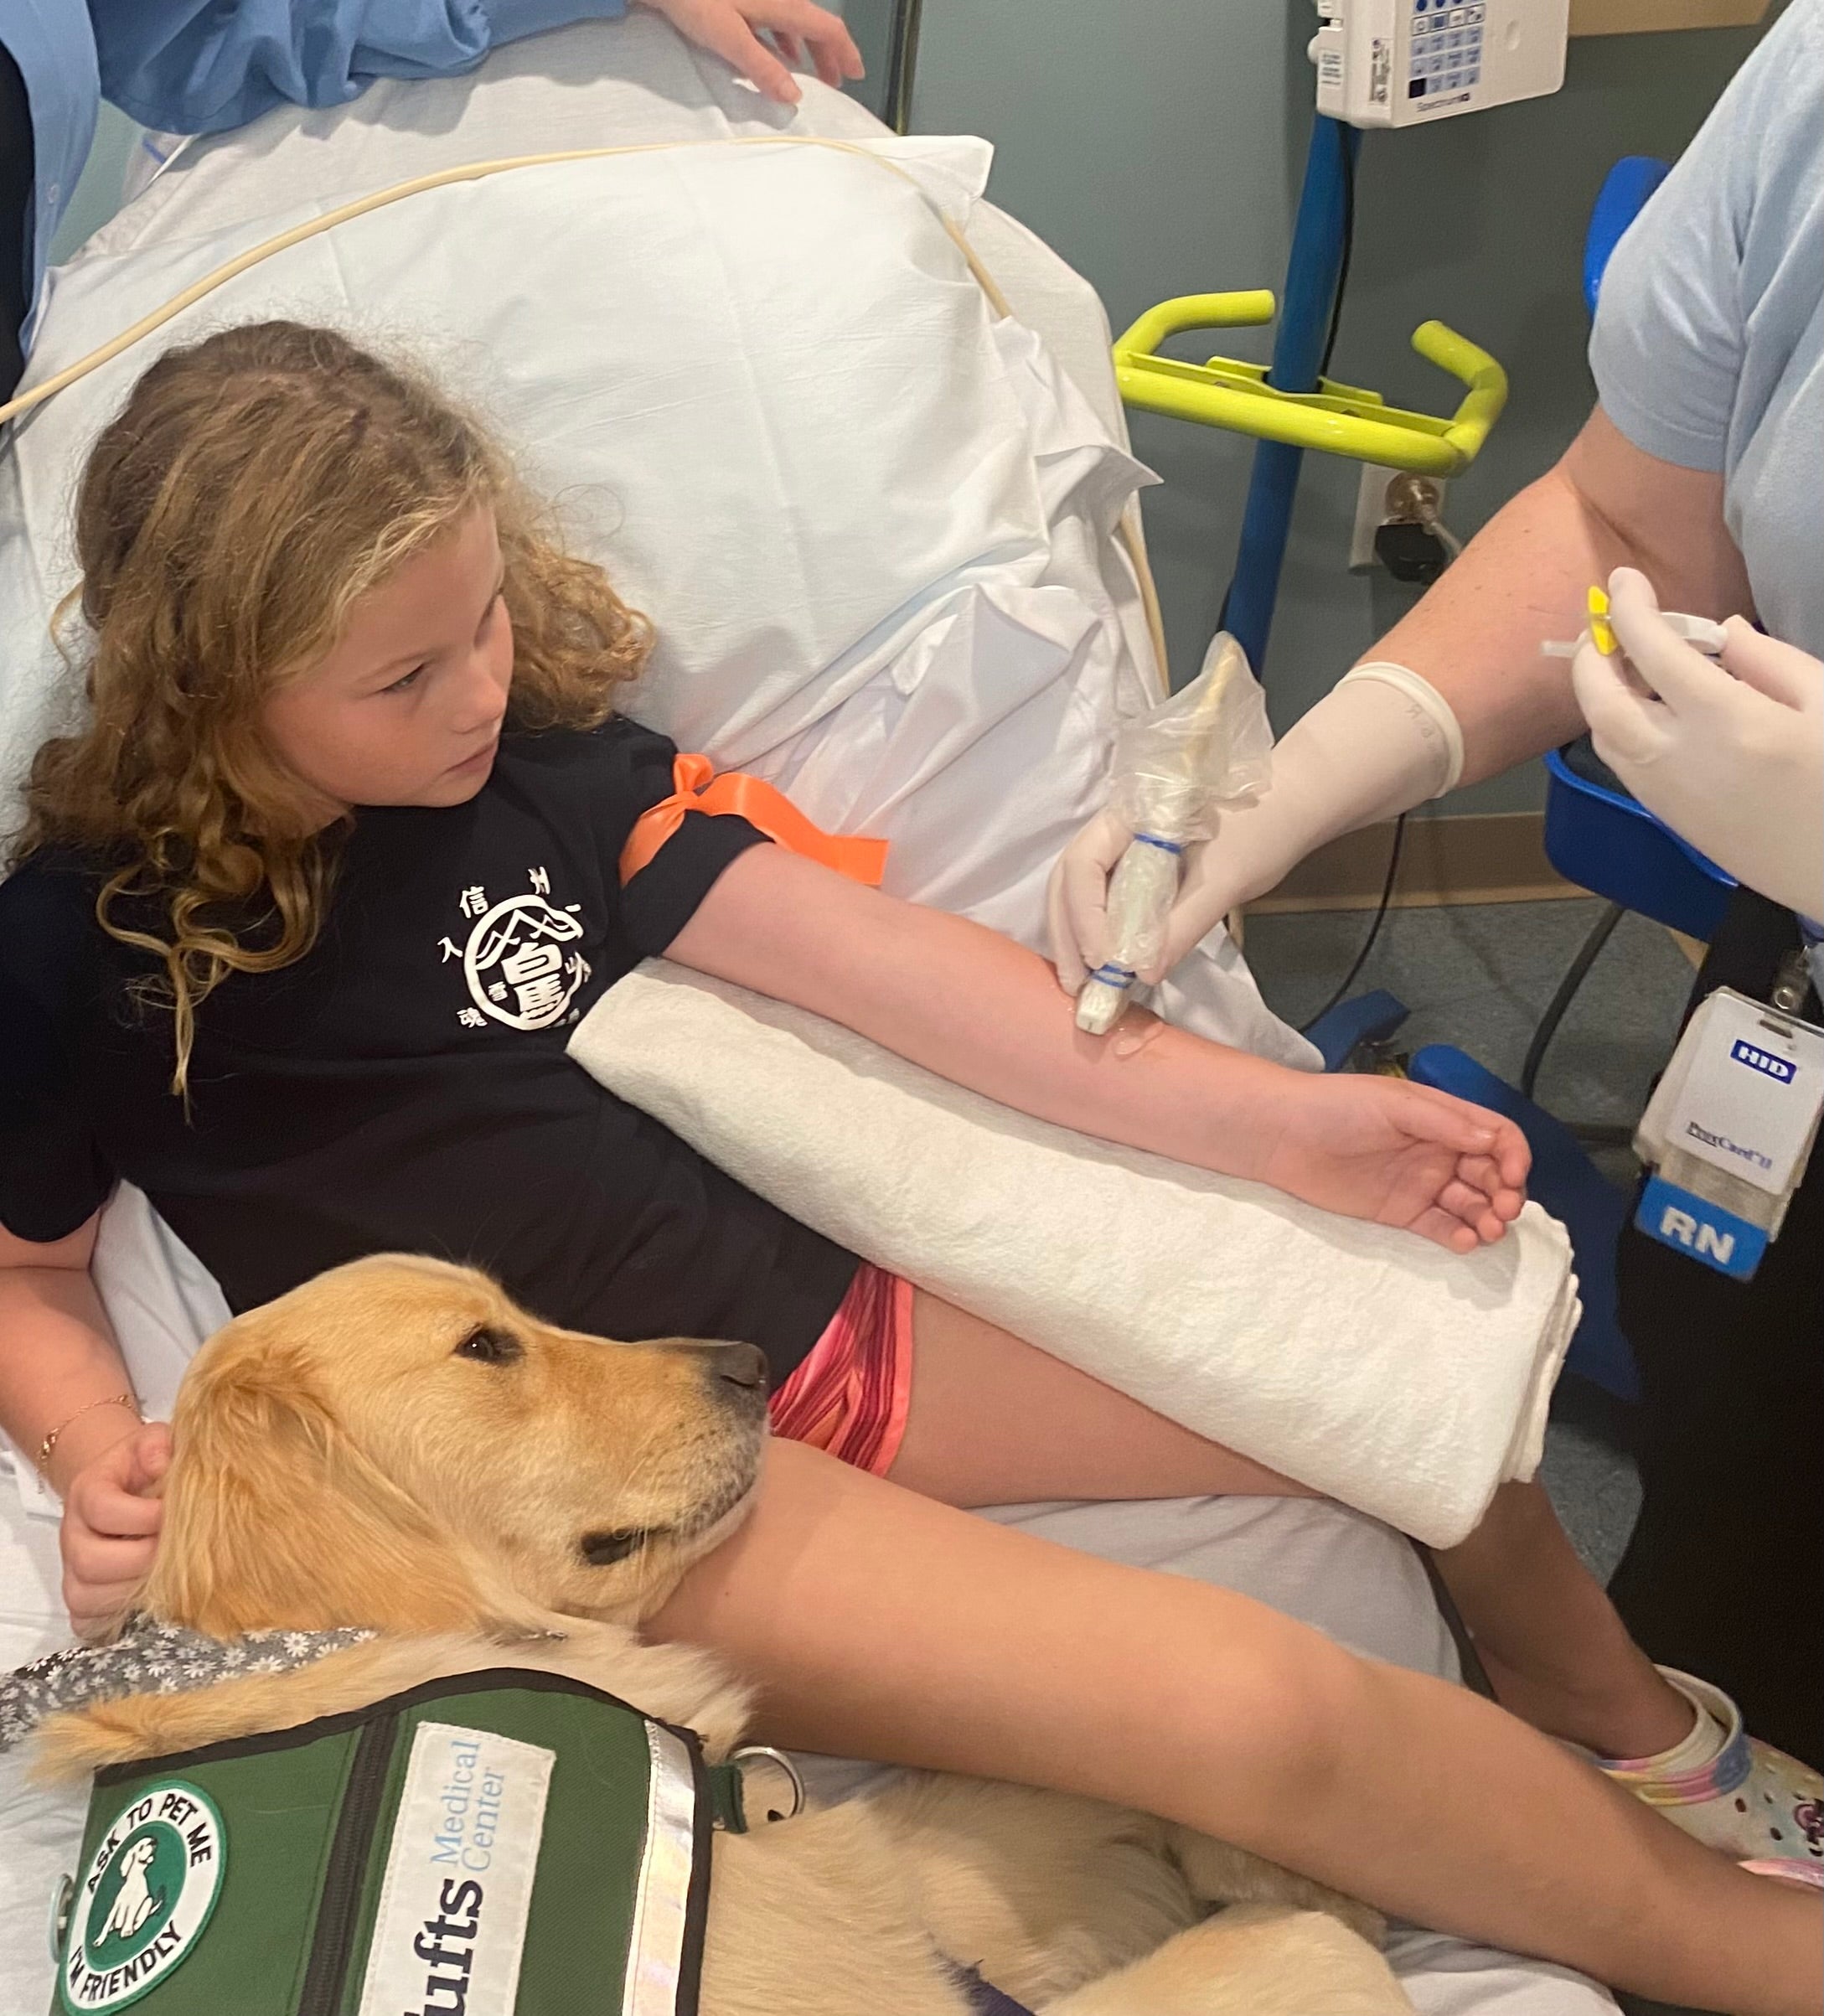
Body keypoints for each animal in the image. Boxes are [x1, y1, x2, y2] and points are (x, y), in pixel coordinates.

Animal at [35, 1255, 1416, 2016]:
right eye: (485, 1345)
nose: (751, 1360)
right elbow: (1275, 1958)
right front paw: (1305, 1910)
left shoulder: (858, 1881)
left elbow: (1008, 1803)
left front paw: (1264, 1855)